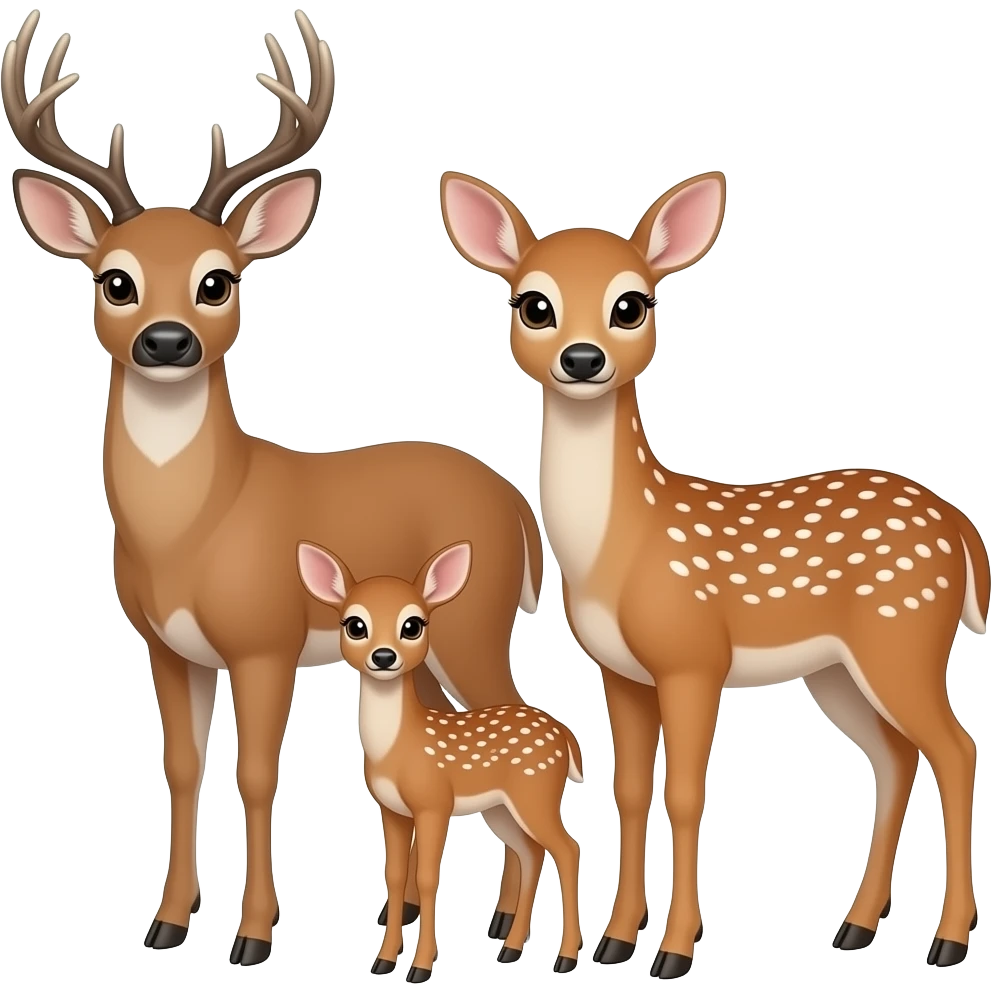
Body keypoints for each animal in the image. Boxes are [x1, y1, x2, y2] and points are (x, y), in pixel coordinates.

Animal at [2, 10, 547, 968]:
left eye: (219, 278)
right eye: (115, 278)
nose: (168, 340)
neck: (194, 527)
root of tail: (514, 500)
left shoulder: (266, 640)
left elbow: (257, 776)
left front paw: (253, 935)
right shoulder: (166, 645)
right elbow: (182, 770)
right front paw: (166, 922)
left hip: (474, 623)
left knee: (509, 713)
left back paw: (509, 936)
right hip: (425, 649)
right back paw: (447, 923)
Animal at [297, 539, 585, 980]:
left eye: (413, 625)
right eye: (354, 624)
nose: (384, 656)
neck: (399, 748)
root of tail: (566, 737)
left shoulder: (434, 803)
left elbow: (428, 875)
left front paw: (421, 965)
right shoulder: (390, 808)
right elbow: (395, 874)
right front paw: (384, 960)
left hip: (535, 793)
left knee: (567, 850)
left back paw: (566, 957)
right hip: (502, 808)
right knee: (531, 852)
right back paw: (510, 949)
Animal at [439, 169, 989, 976]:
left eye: (632, 303)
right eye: (532, 303)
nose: (582, 358)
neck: (619, 550)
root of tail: (961, 528)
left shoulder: (694, 656)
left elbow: (688, 794)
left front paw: (673, 952)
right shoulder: (620, 671)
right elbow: (632, 791)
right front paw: (615, 940)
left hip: (906, 636)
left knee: (955, 748)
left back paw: (946, 940)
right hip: (838, 668)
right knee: (895, 757)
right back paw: (855, 928)